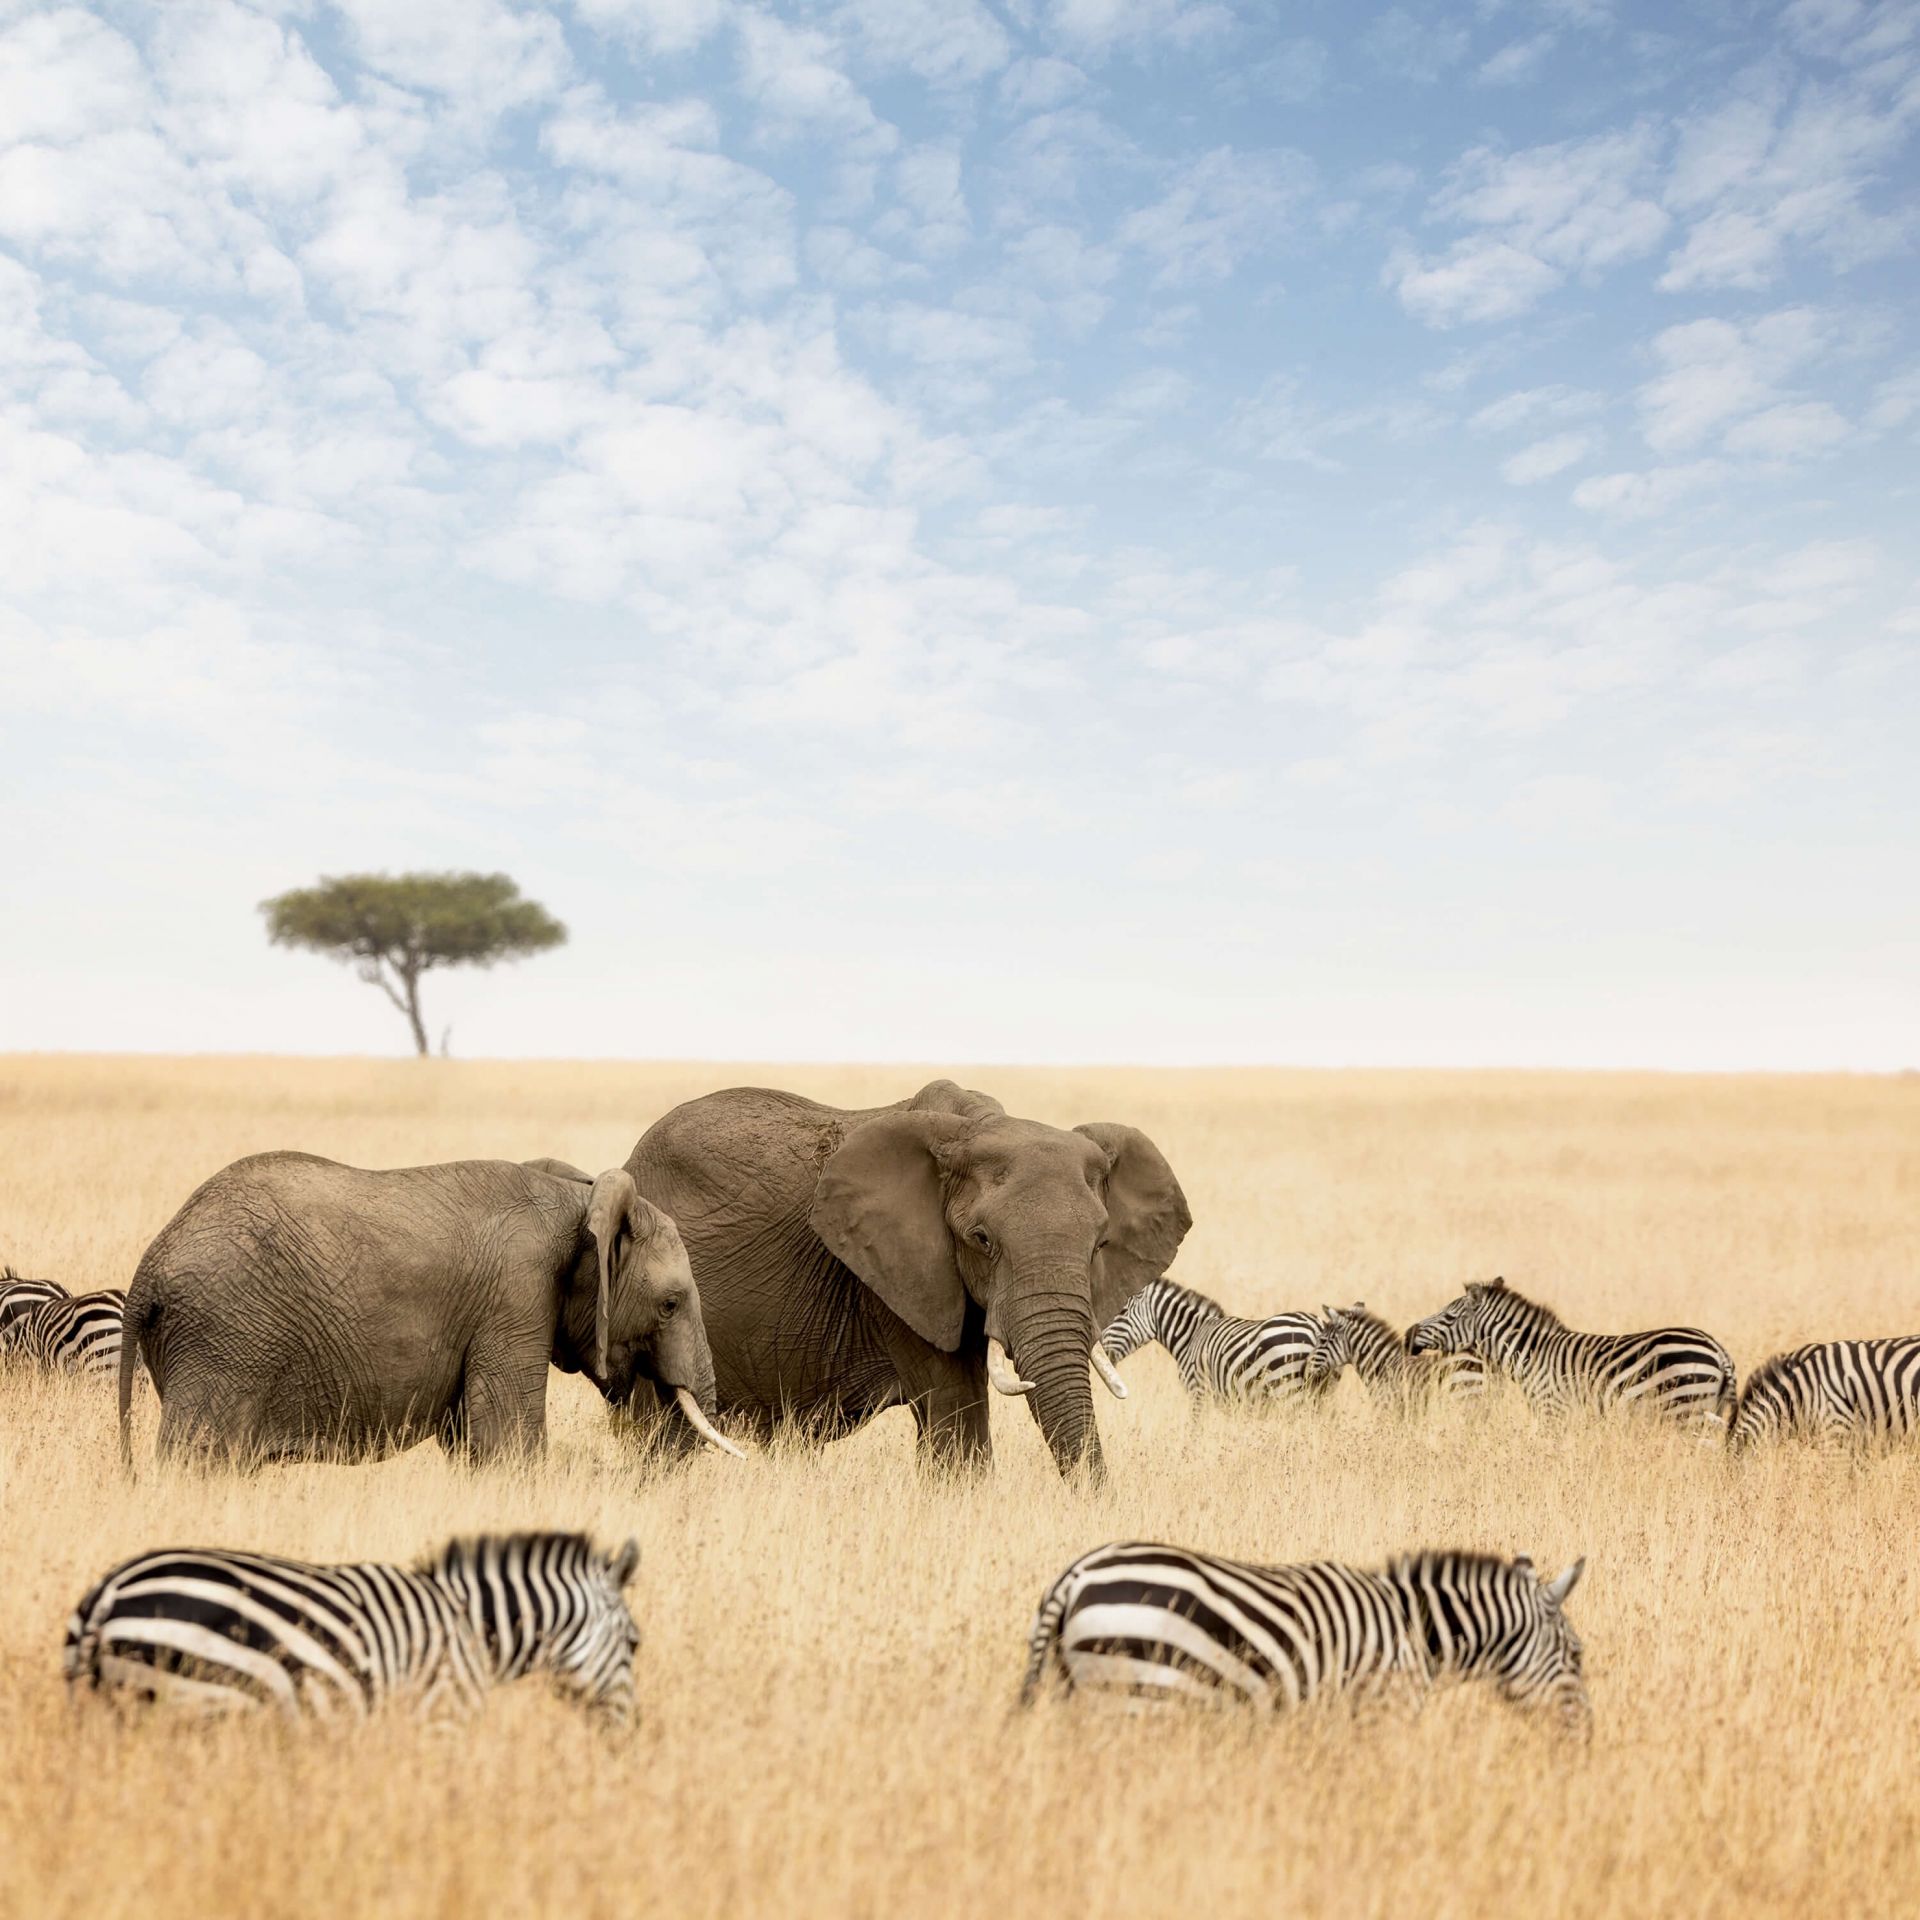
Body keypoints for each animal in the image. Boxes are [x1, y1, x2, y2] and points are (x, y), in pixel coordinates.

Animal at [1019, 1540, 1591, 1738]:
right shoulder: (1383, 1709)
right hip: (1140, 1696)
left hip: (1079, 1694)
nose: (1586, 1738)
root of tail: (1075, 1575)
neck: (1413, 1630)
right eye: (1578, 1656)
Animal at [1099, 1278, 1325, 1404]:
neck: (1191, 1335)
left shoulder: (1198, 1390)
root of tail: (1315, 1327)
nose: (1104, 1351)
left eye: (1121, 1312)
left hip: (1286, 1388)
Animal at [1406, 1277, 1735, 1427]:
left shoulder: (1551, 1409)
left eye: (1449, 1317)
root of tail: (1719, 1350)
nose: (1409, 1335)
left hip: (1683, 1409)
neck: (1531, 1354)